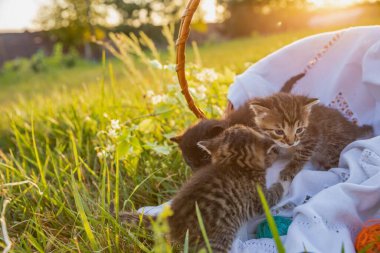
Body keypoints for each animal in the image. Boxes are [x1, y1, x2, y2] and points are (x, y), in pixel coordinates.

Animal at [121, 125, 288, 252]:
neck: (233, 163)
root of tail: (172, 218)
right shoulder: (257, 198)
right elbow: (272, 195)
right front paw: (284, 178)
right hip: (217, 240)